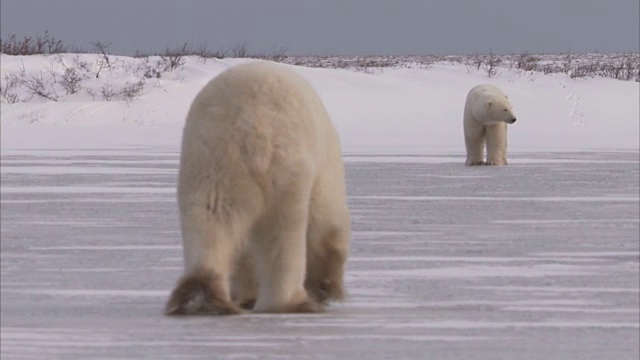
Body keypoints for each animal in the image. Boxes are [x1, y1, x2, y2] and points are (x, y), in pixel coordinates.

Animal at [165, 60, 352, 314]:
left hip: (209, 165)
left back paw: (201, 297)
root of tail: (252, 127)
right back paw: (288, 301)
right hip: (285, 169)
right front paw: (324, 286)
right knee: (283, 231)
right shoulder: (324, 171)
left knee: (209, 219)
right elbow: (325, 224)